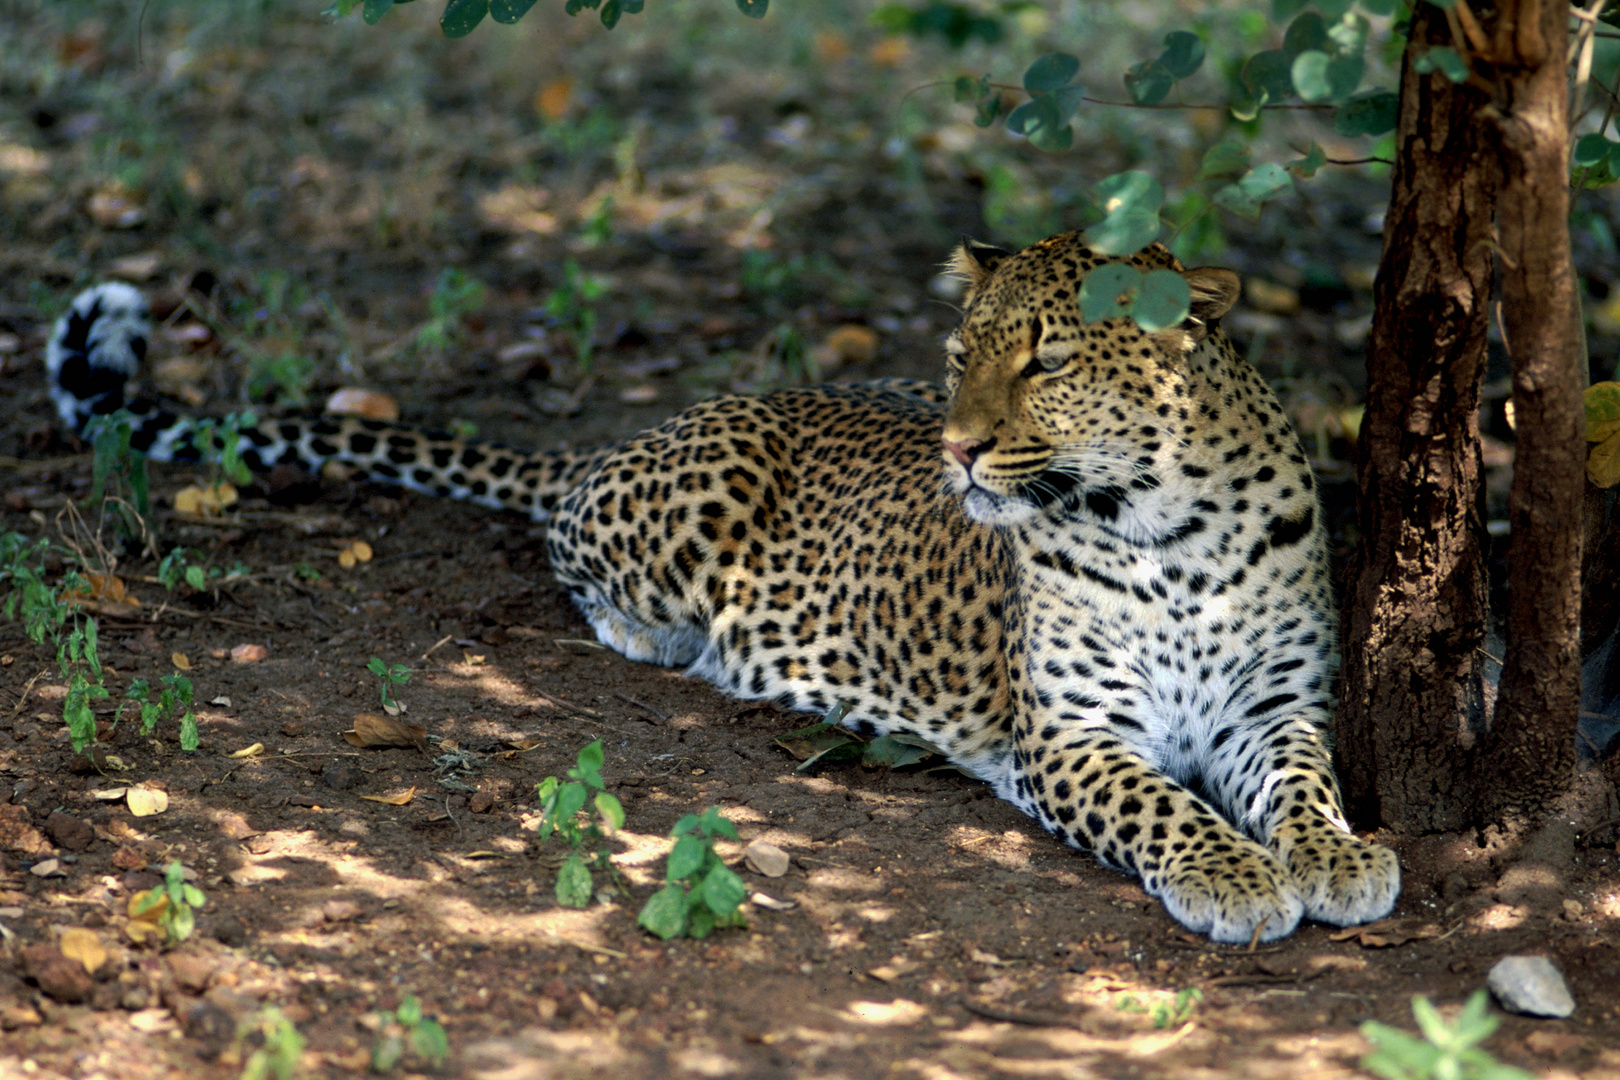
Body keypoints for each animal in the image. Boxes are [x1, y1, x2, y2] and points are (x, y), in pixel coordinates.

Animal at [44, 229, 1399, 945]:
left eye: (1048, 362)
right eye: (961, 356)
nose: (959, 448)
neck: (1167, 528)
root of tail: (651, 425)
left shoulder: (1273, 707)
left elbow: (1304, 785)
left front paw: (1336, 859)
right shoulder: (1072, 737)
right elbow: (1162, 807)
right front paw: (1233, 877)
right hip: (695, 501)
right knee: (567, 549)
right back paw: (664, 640)